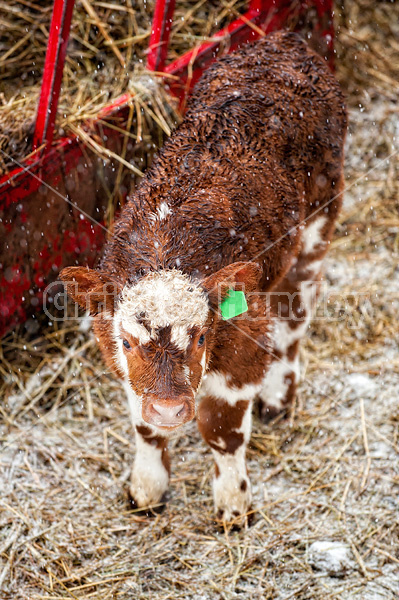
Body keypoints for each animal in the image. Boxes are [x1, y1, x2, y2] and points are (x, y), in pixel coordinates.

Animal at [61, 30, 346, 524]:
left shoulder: (244, 347)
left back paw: (279, 396)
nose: (171, 408)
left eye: (199, 338)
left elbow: (222, 431)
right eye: (128, 343)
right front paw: (146, 488)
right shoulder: (120, 362)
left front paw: (234, 504)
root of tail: (283, 43)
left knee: (296, 310)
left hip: (319, 217)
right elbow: (144, 427)